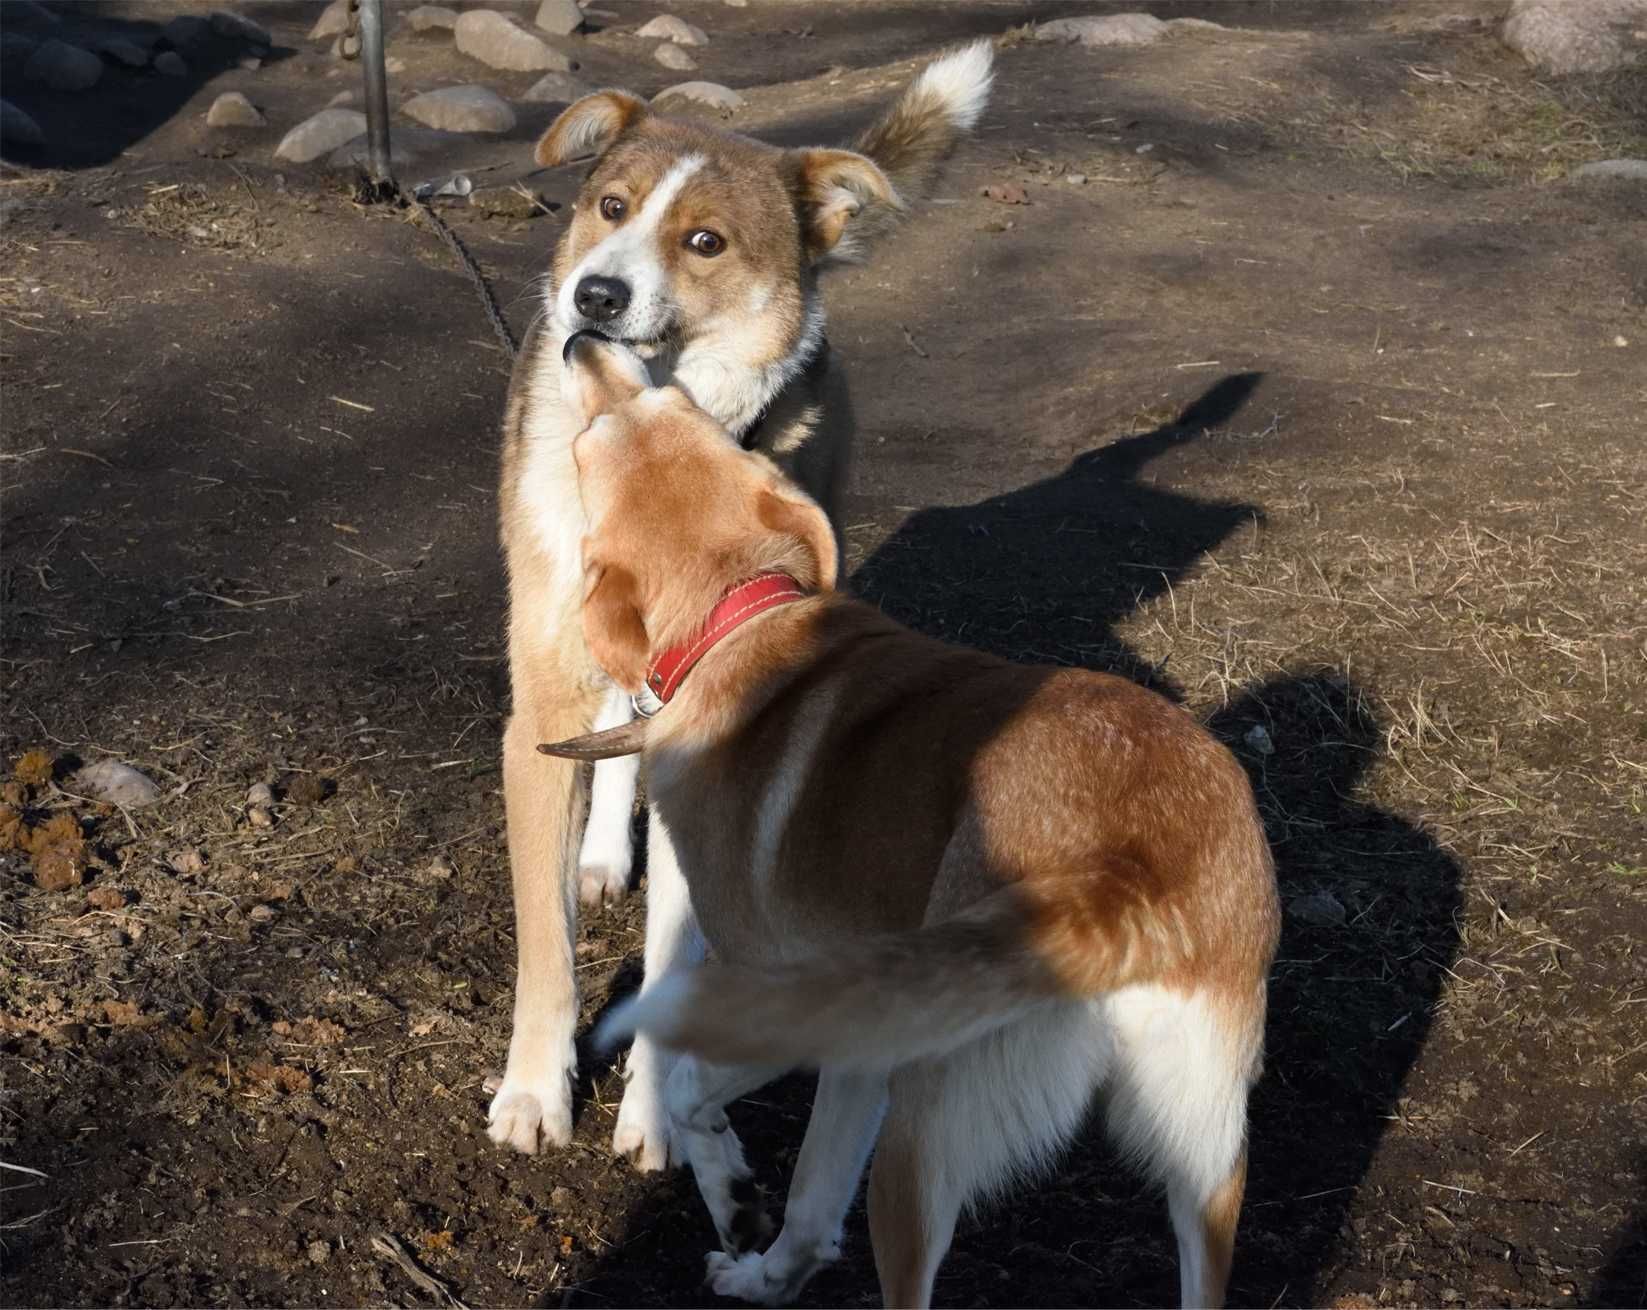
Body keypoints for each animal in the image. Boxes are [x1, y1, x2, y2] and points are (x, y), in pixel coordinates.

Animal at [487, 40, 994, 1173]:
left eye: (704, 242)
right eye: (610, 205)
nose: (592, 296)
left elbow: (677, 965)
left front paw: (652, 1112)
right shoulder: (539, 712)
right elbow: (544, 945)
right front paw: (536, 1091)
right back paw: (599, 853)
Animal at [546, 337, 1278, 1310]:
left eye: (590, 445)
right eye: (679, 411)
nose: (582, 341)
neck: (737, 618)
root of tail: (1122, 882)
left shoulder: (785, 1007)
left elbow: (693, 1094)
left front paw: (730, 1194)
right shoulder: (858, 1046)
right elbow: (812, 1200)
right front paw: (771, 1272)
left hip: (919, 1142)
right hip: (1206, 1164)